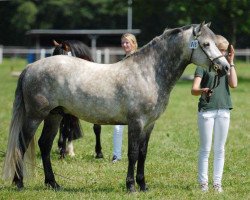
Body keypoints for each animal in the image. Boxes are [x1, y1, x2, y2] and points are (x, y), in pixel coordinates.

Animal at [2, 22, 229, 192]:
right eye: (206, 44)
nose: (225, 68)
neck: (148, 73)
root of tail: (30, 68)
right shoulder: (136, 122)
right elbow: (133, 153)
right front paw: (131, 186)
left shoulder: (149, 125)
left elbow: (143, 153)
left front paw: (143, 185)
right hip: (35, 116)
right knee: (22, 144)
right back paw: (19, 183)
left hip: (54, 116)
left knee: (45, 145)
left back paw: (53, 183)